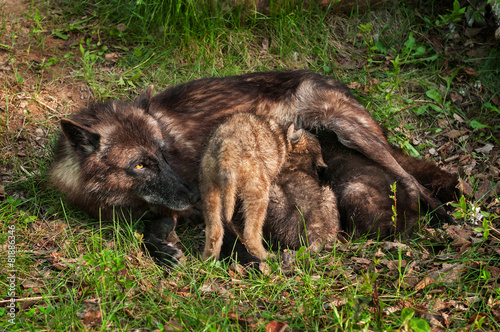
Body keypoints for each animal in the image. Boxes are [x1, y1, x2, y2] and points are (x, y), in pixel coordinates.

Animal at [49, 70, 454, 268]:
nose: (195, 192)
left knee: (415, 182)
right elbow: (152, 232)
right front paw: (167, 249)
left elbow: (227, 235)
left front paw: (247, 261)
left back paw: (446, 223)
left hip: (354, 134)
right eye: (140, 164)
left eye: (164, 154)